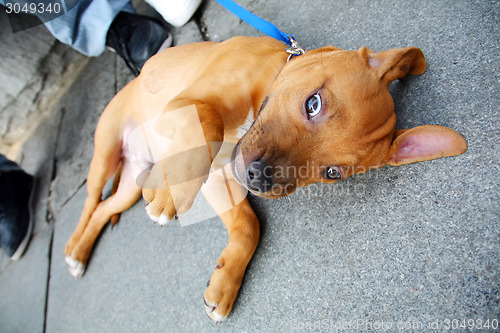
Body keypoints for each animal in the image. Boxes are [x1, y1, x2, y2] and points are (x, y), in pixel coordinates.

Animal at [64, 35, 466, 322]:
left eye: (332, 173)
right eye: (313, 104)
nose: (258, 178)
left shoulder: (220, 178)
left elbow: (248, 225)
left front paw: (225, 282)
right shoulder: (183, 106)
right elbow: (208, 120)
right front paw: (170, 191)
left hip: (129, 185)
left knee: (104, 208)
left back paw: (82, 252)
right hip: (105, 152)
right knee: (90, 202)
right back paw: (73, 249)